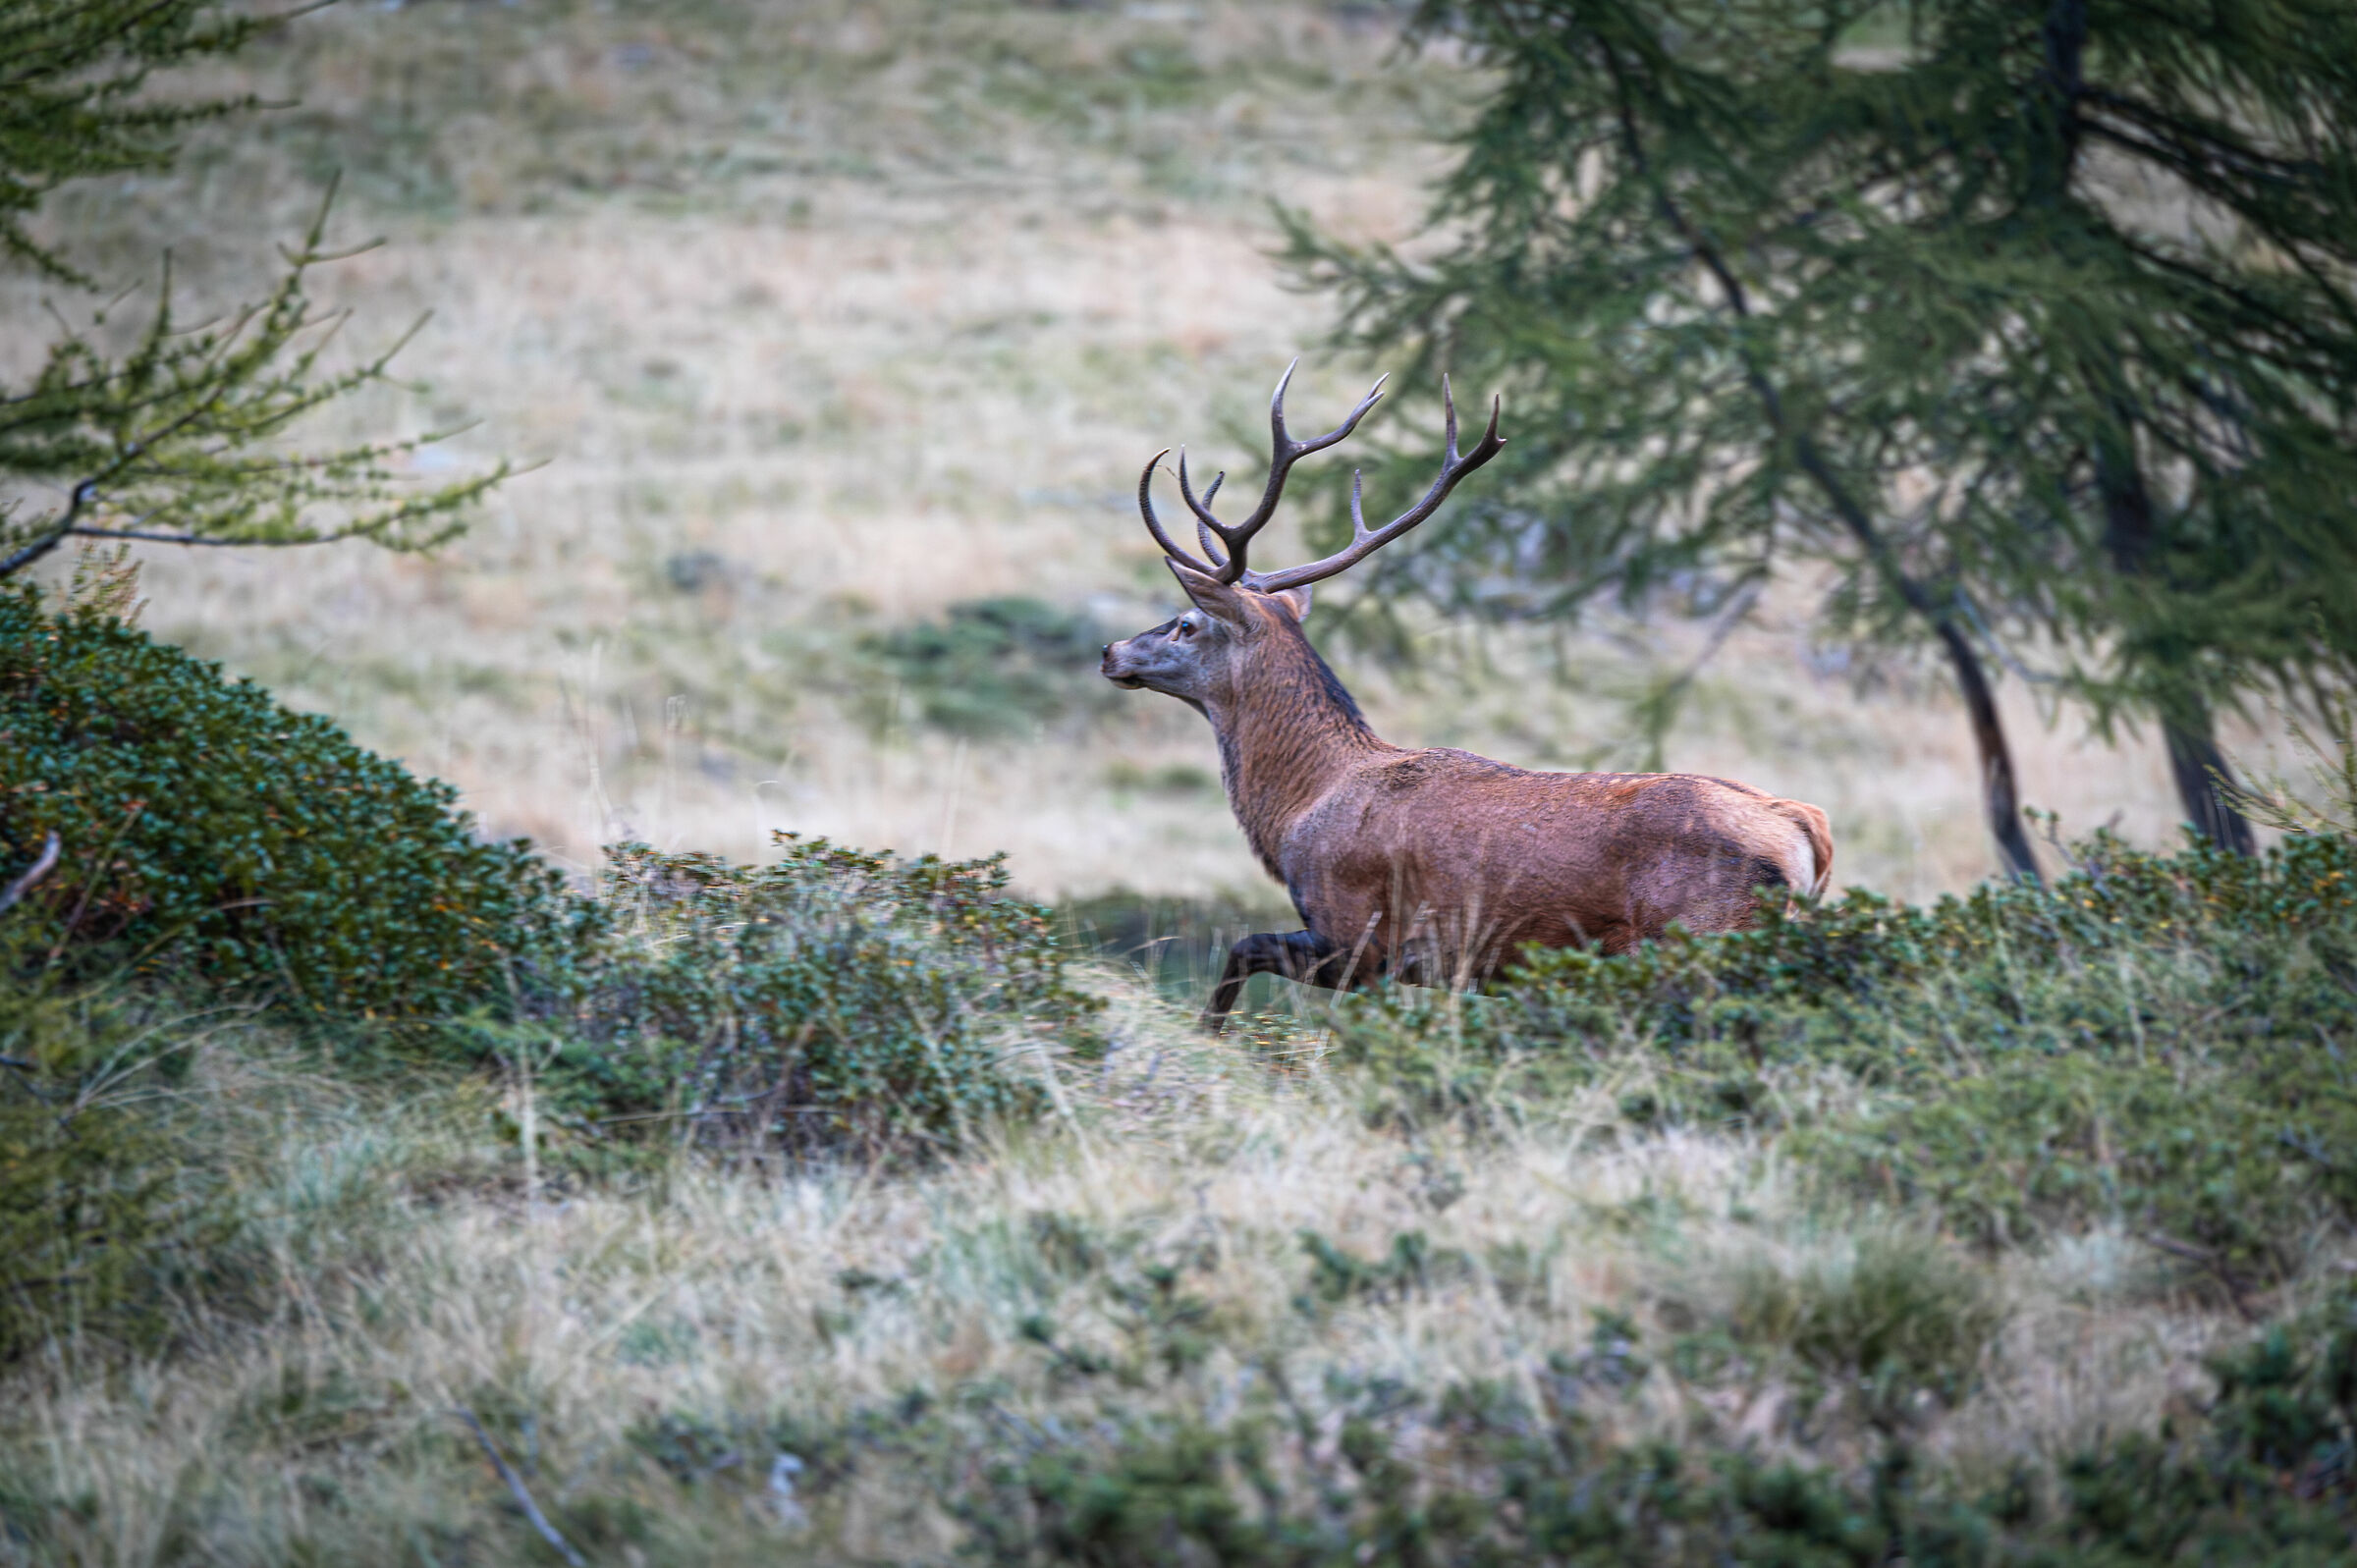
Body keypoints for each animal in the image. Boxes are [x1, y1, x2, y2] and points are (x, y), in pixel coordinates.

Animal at [1099, 364, 1834, 1031]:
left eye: (1185, 623)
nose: (1111, 652)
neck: (1299, 810)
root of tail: (1804, 829)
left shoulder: (1357, 932)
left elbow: (1243, 952)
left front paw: (1209, 1037)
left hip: (1701, 938)